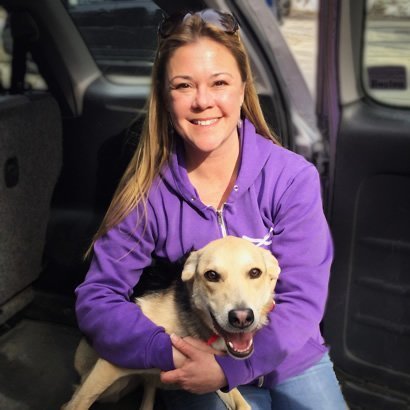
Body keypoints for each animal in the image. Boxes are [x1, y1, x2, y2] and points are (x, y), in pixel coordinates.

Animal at [62, 236, 280, 410]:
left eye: (255, 273)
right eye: (211, 275)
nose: (242, 318)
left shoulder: (215, 375)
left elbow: (241, 402)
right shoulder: (109, 364)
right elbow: (78, 404)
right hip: (113, 386)